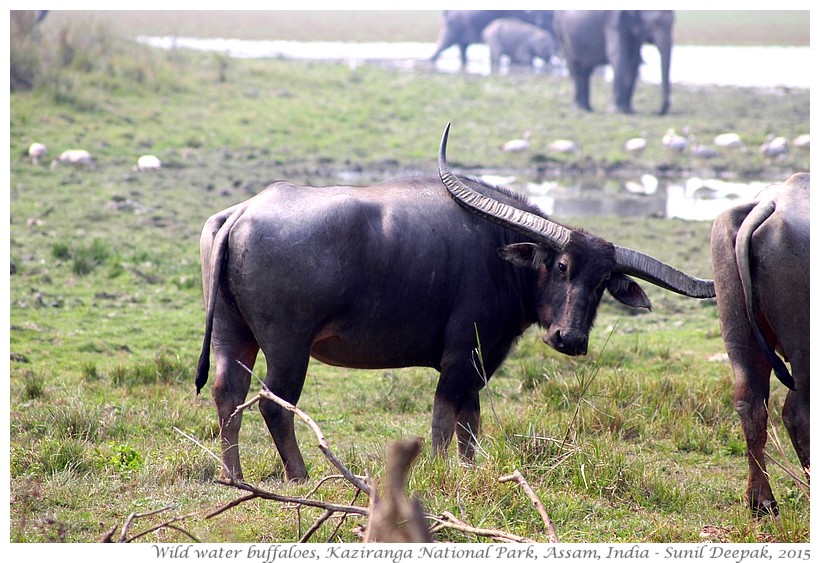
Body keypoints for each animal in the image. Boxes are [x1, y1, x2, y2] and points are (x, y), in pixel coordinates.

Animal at [195, 125, 716, 482]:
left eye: (604, 280)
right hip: (288, 346)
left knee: (228, 394)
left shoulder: (478, 366)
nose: (569, 339)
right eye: (562, 266)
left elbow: (471, 425)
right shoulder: (461, 360)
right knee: (274, 404)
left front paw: (469, 469)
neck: (503, 255)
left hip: (232, 335)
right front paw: (444, 472)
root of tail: (243, 212)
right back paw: (300, 476)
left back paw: (233, 476)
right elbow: (445, 423)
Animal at [712, 174, 808, 516]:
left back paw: (761, 501)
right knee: (798, 413)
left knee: (749, 403)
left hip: (740, 335)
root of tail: (771, 202)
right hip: (803, 346)